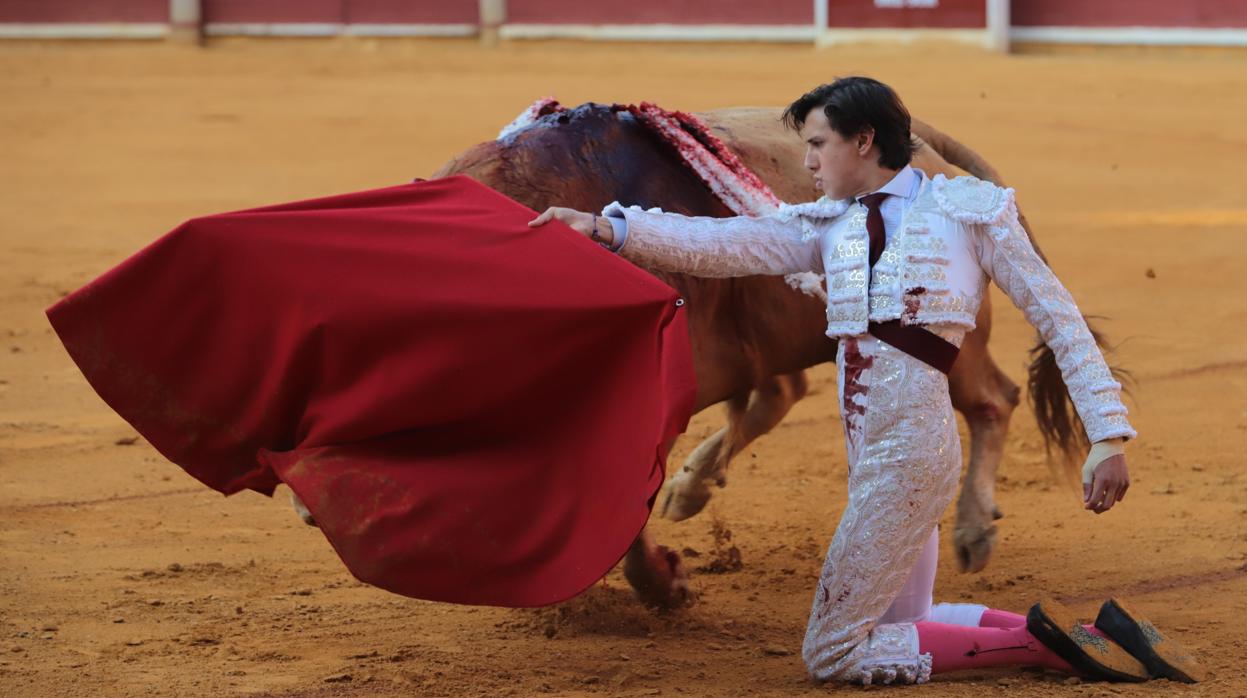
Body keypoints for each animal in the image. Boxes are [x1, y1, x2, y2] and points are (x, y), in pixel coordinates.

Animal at [433, 102, 1097, 605]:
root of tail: (924, 147)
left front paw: (666, 585)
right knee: (778, 393)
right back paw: (692, 486)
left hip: (953, 342)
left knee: (992, 399)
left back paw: (972, 530)